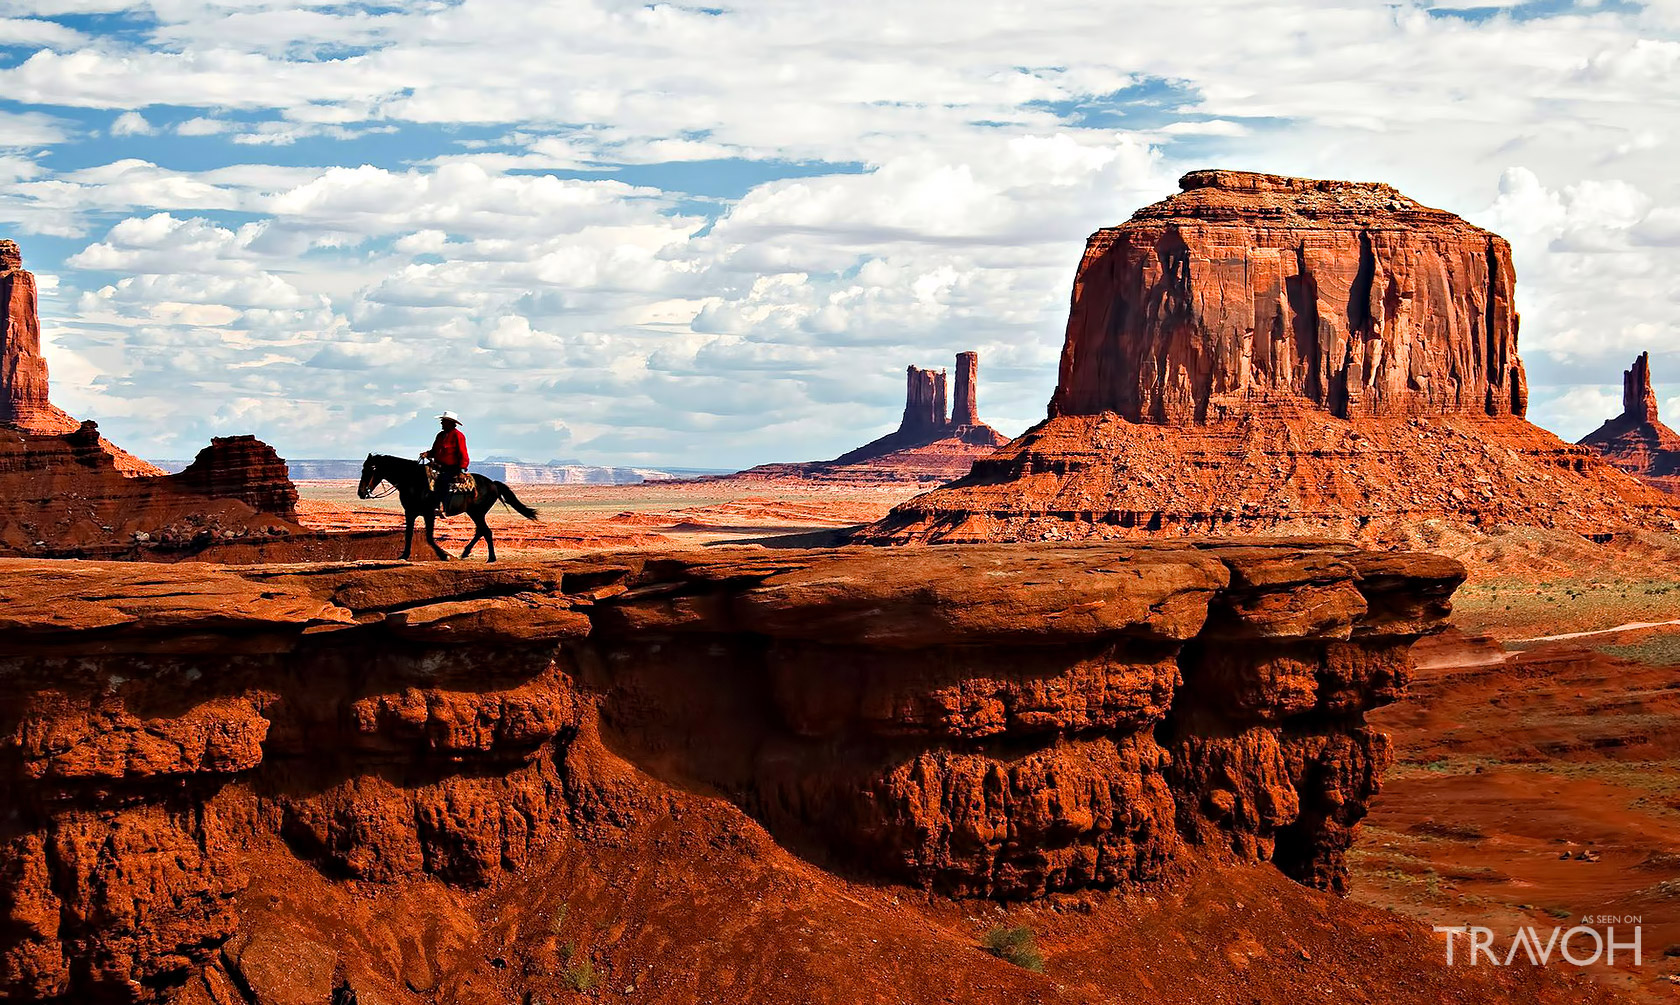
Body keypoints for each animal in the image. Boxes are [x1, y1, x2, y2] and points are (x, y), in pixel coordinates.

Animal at [359, 453, 537, 564]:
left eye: (371, 469)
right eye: (362, 469)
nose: (361, 492)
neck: (412, 480)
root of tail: (493, 483)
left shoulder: (428, 513)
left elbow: (429, 537)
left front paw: (444, 556)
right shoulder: (410, 512)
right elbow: (408, 535)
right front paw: (404, 555)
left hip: (477, 512)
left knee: (486, 531)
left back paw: (491, 558)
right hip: (474, 512)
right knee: (481, 531)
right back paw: (466, 552)